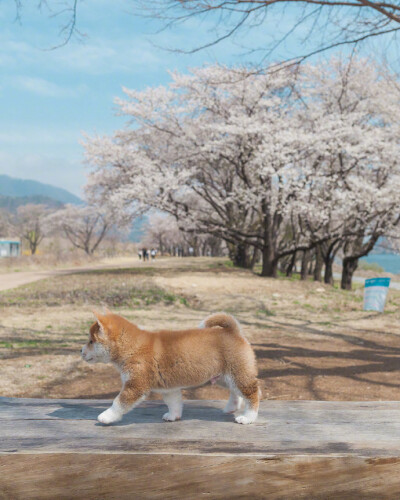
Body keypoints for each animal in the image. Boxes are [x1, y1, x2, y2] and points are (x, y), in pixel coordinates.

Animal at [82, 312, 260, 426]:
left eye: (91, 341)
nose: (80, 351)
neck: (133, 347)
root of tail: (233, 332)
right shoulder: (169, 388)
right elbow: (173, 403)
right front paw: (173, 416)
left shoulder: (135, 385)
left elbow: (118, 402)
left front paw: (106, 416)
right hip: (224, 377)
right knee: (236, 393)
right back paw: (231, 408)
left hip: (237, 375)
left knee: (253, 393)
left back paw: (248, 417)